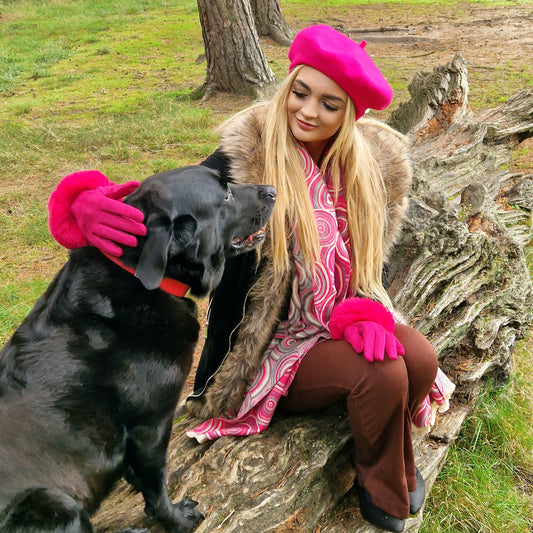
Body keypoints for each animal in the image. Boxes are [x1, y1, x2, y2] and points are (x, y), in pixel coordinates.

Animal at [0, 165, 275, 533]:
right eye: (227, 195)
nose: (272, 190)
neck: (138, 274)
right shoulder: (152, 426)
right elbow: (156, 487)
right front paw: (177, 519)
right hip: (53, 503)